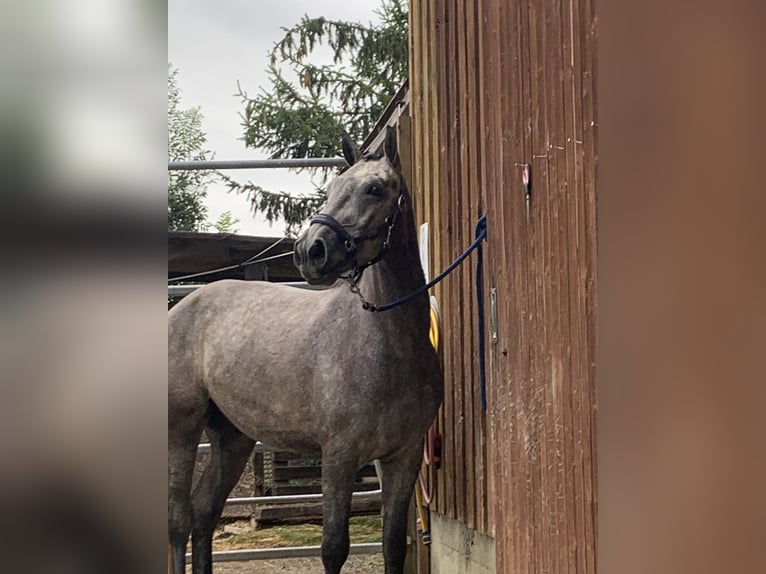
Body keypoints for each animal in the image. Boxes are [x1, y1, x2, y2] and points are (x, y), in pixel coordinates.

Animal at [168, 127, 444, 574]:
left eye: (374, 189)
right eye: (333, 187)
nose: (309, 250)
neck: (384, 346)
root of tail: (184, 306)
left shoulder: (403, 458)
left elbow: (392, 545)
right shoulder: (338, 456)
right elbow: (333, 548)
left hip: (233, 437)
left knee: (204, 512)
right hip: (182, 431)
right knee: (178, 521)